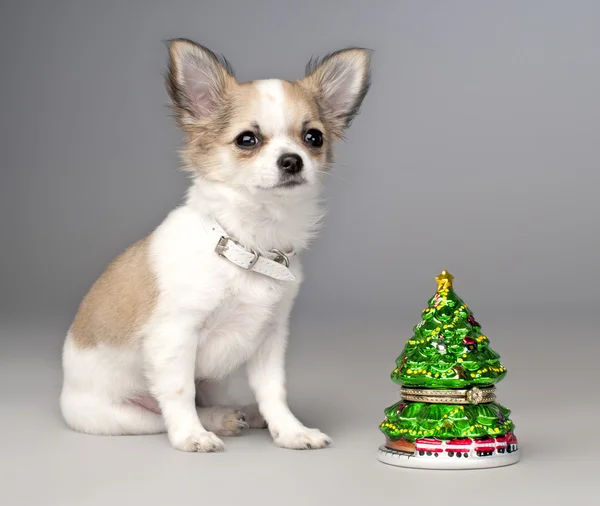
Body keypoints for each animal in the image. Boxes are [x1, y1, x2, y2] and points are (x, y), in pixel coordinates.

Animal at [59, 38, 370, 450]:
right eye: (247, 140)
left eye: (313, 138)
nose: (292, 161)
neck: (249, 245)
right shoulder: (175, 337)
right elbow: (179, 392)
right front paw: (191, 435)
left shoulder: (269, 337)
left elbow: (274, 390)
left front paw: (290, 430)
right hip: (120, 417)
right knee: (162, 414)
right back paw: (215, 422)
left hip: (214, 382)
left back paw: (242, 414)